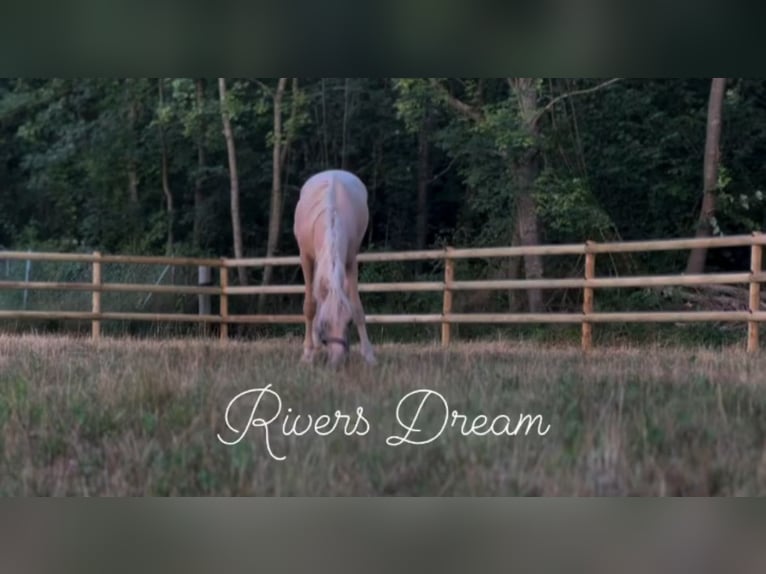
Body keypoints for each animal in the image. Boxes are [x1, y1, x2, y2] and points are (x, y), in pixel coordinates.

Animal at [292, 171, 376, 368]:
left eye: (349, 322)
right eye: (325, 324)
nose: (337, 361)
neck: (331, 217)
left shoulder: (350, 260)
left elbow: (357, 307)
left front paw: (368, 355)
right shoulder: (305, 258)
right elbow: (310, 307)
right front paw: (308, 354)